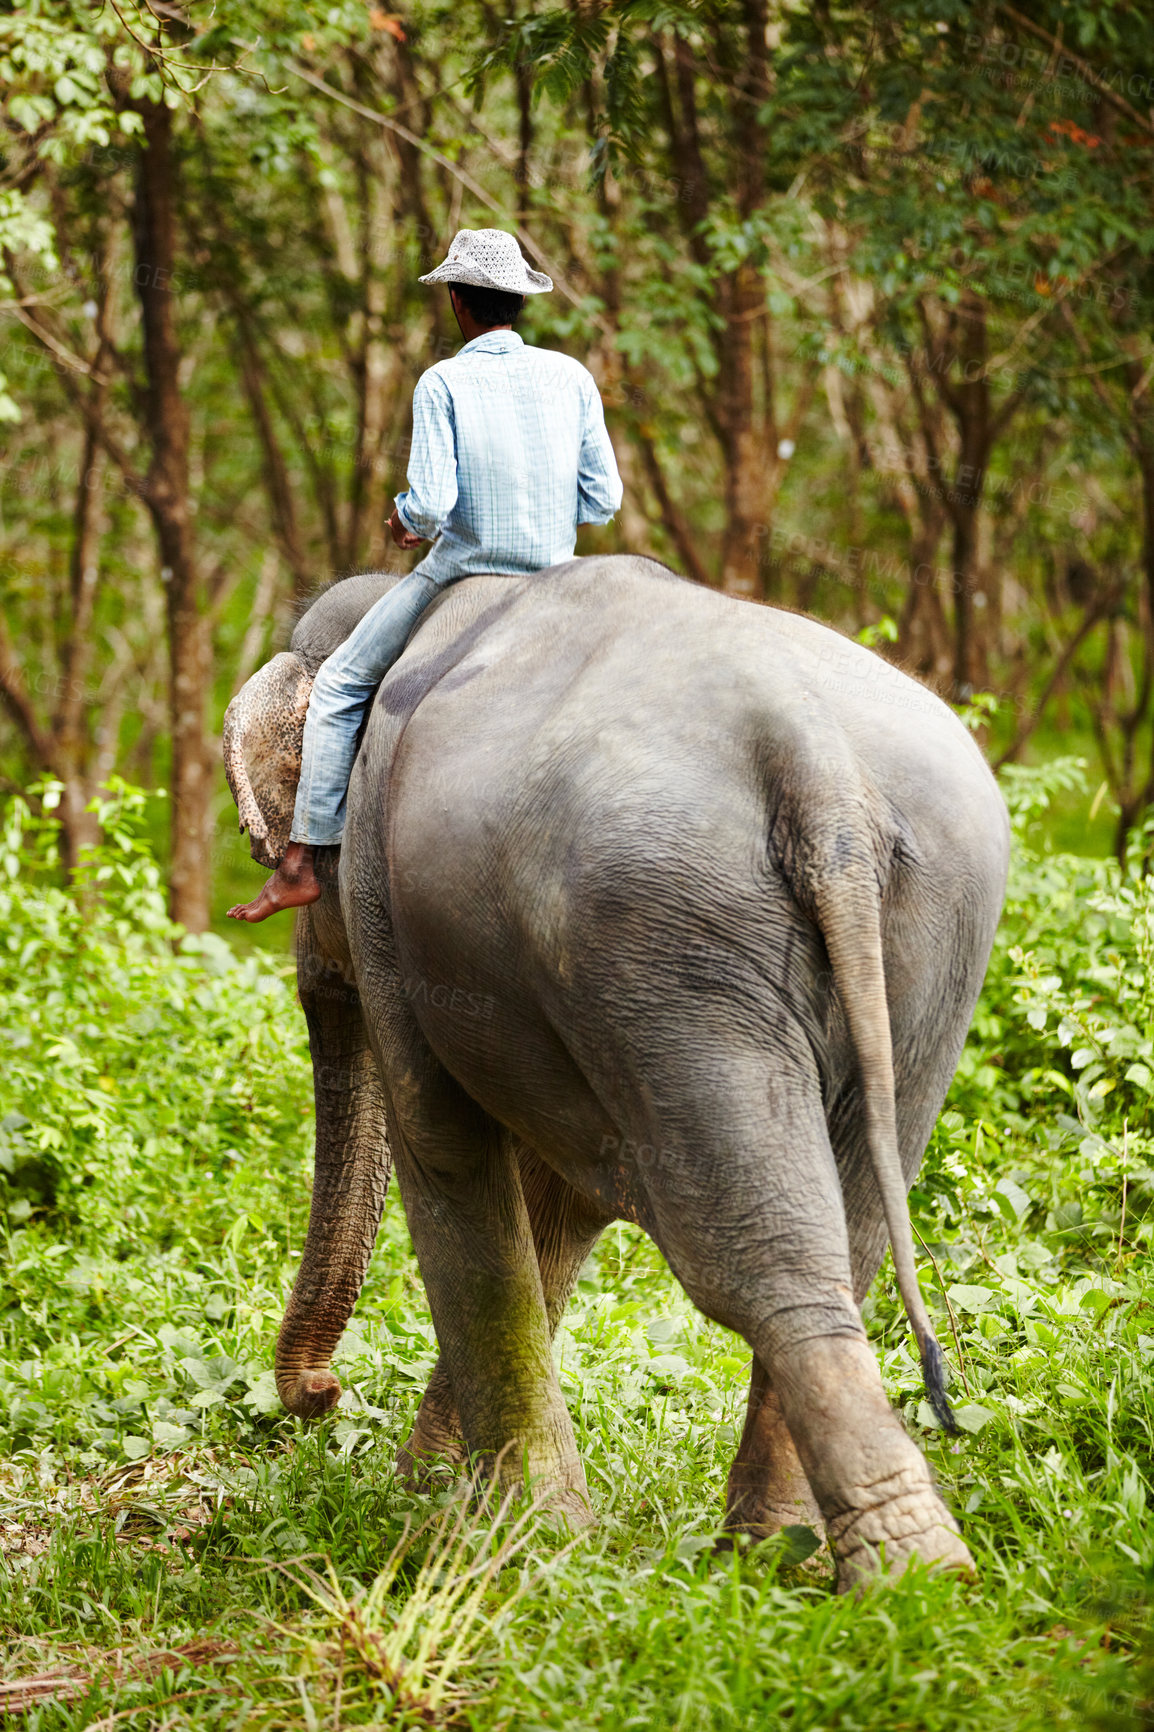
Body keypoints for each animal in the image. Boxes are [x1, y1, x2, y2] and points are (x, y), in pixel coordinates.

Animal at [221, 561, 998, 1586]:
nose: (321, 1394)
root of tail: (814, 760)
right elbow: (567, 1199)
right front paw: (456, 1496)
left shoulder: (390, 910)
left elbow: (446, 1144)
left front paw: (503, 1527)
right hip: (919, 939)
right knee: (858, 1229)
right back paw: (798, 1557)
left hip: (664, 932)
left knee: (755, 1258)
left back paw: (900, 1572)